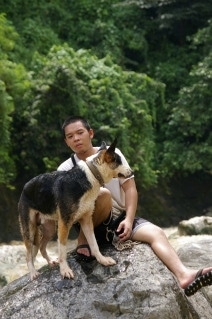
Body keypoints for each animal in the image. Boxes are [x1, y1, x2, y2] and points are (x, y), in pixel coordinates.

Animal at [19, 139, 133, 280]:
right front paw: (65, 270)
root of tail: (25, 187)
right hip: (29, 229)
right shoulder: (64, 224)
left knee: (41, 246)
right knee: (28, 255)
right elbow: (62, 250)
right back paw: (33, 272)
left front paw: (102, 260)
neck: (91, 175)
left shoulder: (87, 221)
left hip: (49, 229)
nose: (132, 172)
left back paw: (51, 262)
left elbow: (94, 244)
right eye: (119, 161)